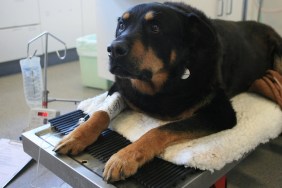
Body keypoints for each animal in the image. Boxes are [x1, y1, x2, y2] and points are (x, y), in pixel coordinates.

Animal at [54, 1, 282, 182]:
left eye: (155, 28)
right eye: (121, 25)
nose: (113, 49)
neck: (160, 85)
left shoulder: (221, 112)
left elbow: (160, 130)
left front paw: (125, 157)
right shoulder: (120, 87)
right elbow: (101, 113)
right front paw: (76, 136)